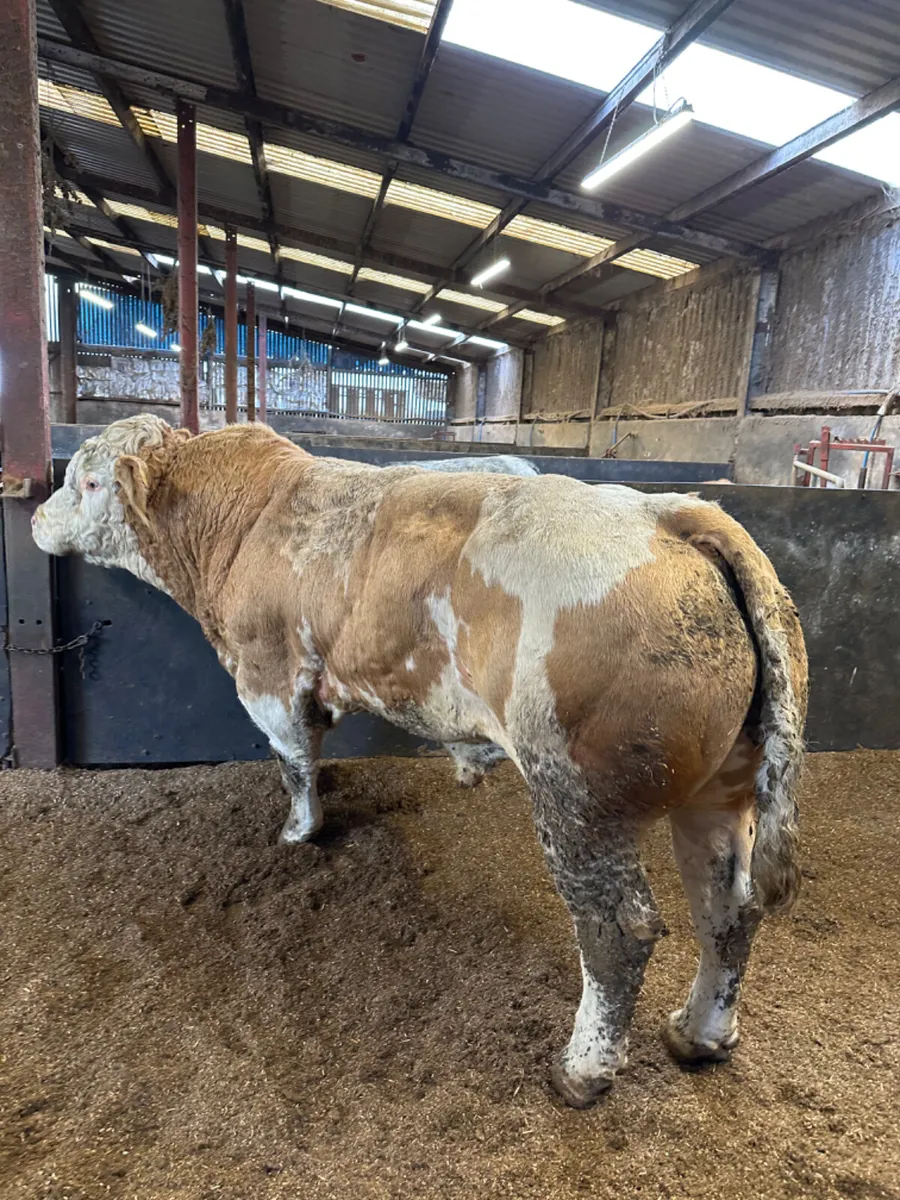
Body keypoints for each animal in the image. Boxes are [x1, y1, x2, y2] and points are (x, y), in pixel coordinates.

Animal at [32, 415, 807, 1107]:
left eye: (87, 481)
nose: (36, 516)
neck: (247, 520)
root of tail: (669, 512)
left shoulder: (268, 673)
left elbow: (293, 760)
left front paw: (298, 832)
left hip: (579, 799)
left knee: (619, 930)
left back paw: (582, 1071)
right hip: (721, 790)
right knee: (728, 909)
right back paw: (699, 1034)